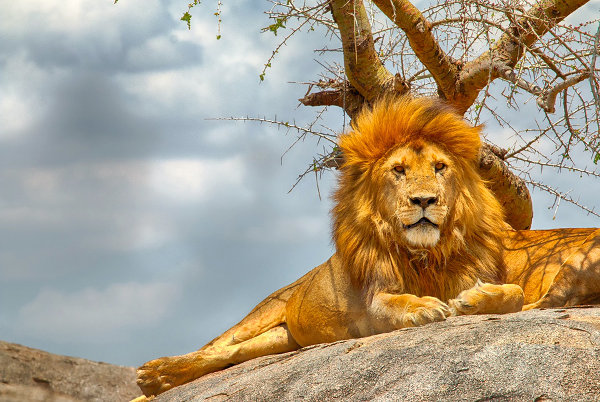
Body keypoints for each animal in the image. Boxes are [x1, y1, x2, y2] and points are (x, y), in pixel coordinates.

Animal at [136, 96, 600, 396]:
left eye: (440, 167)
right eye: (398, 170)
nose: (425, 200)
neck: (424, 255)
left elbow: (514, 293)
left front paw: (473, 301)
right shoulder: (376, 300)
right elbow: (398, 303)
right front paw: (425, 307)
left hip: (282, 339)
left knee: (229, 356)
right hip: (265, 311)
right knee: (212, 348)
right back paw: (153, 377)